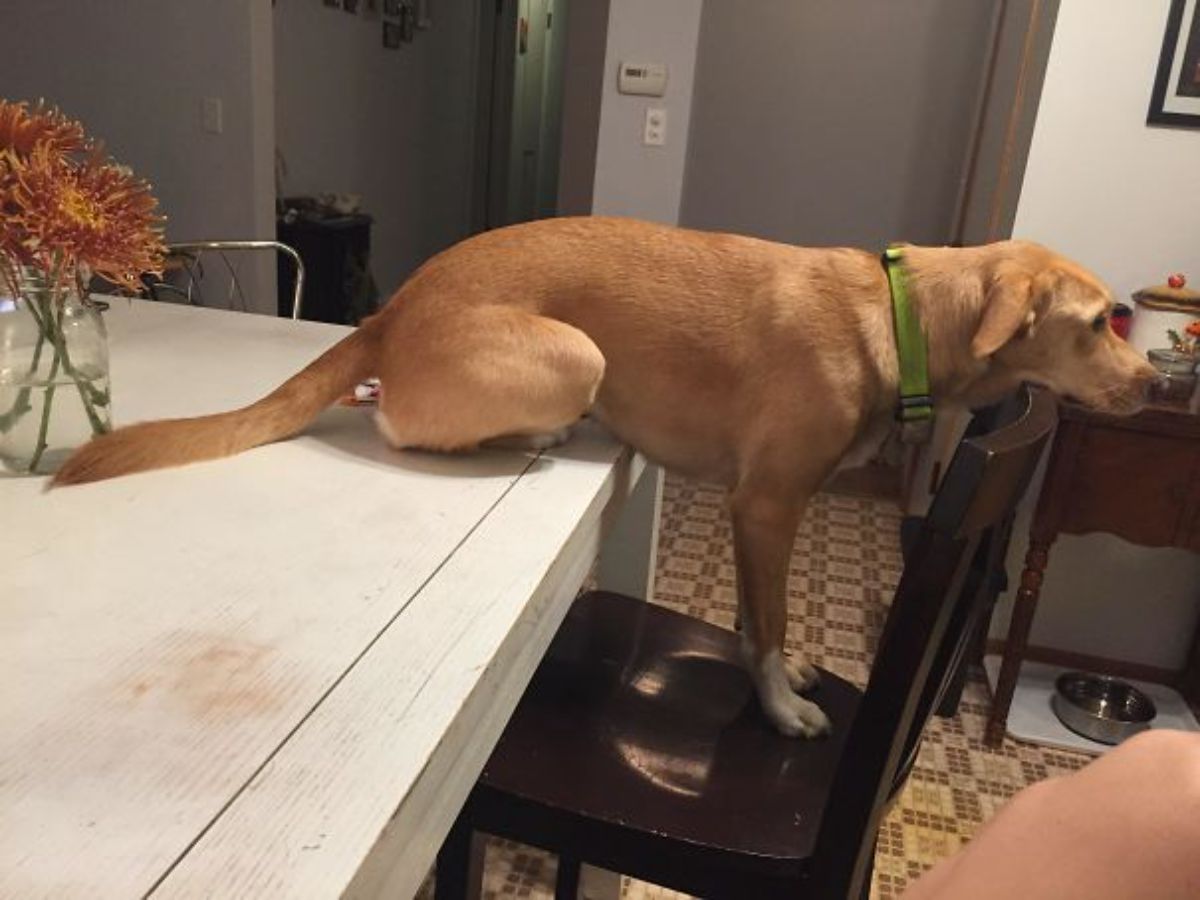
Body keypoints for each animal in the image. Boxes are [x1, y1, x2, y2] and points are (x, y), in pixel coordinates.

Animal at [54, 218, 1152, 739]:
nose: (1154, 382)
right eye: (1100, 322)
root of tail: (389, 311)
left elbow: (764, 620)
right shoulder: (768, 505)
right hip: (576, 356)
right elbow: (765, 623)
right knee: (402, 424)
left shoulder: (765, 513)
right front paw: (780, 705)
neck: (899, 316)